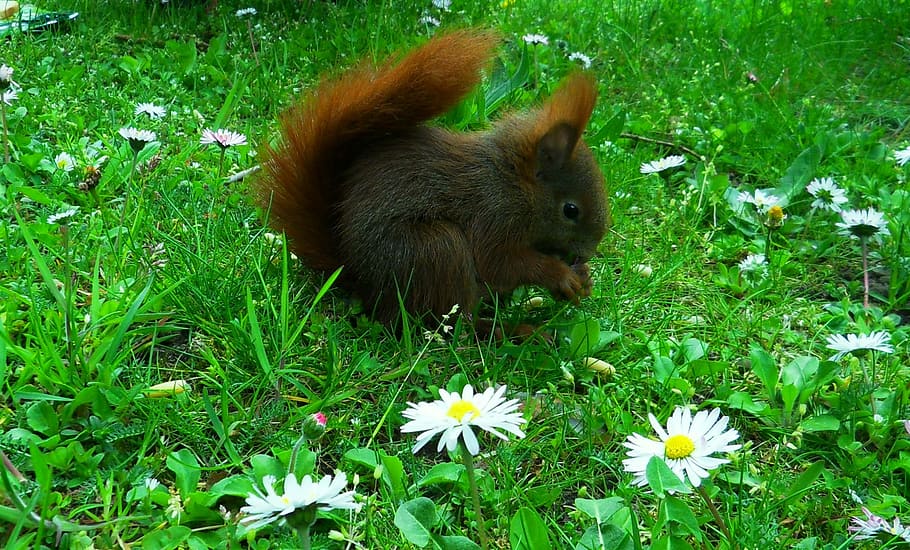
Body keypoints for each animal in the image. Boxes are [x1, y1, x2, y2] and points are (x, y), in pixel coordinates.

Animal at [255, 29, 609, 325]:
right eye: (571, 210)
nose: (587, 253)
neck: (511, 181)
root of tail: (358, 280)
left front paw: (583, 278)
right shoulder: (493, 214)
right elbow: (498, 263)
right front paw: (560, 275)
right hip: (435, 250)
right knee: (455, 326)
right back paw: (512, 333)